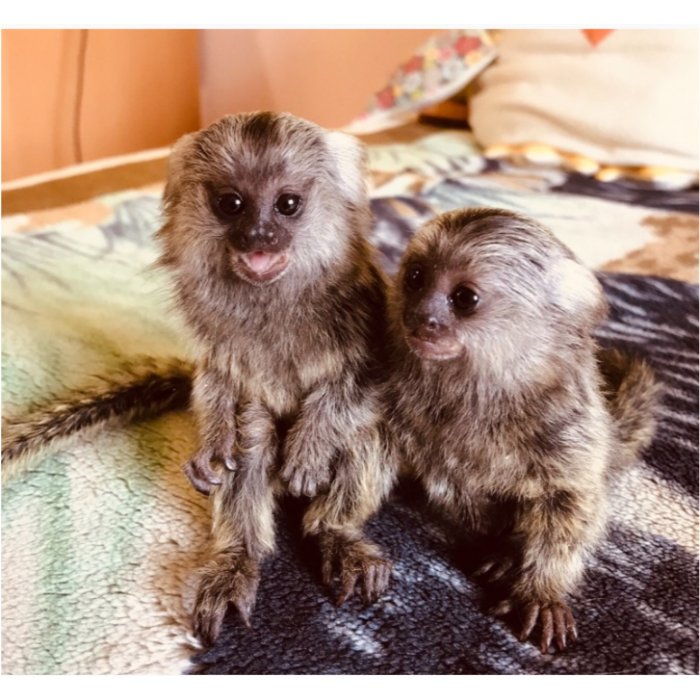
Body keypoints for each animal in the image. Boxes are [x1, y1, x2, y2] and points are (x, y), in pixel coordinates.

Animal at [386, 206, 660, 652]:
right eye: (415, 278)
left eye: (464, 299)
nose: (422, 318)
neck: (485, 392)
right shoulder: (412, 415)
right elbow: (453, 485)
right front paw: (500, 543)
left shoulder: (570, 426)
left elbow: (571, 504)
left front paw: (537, 586)